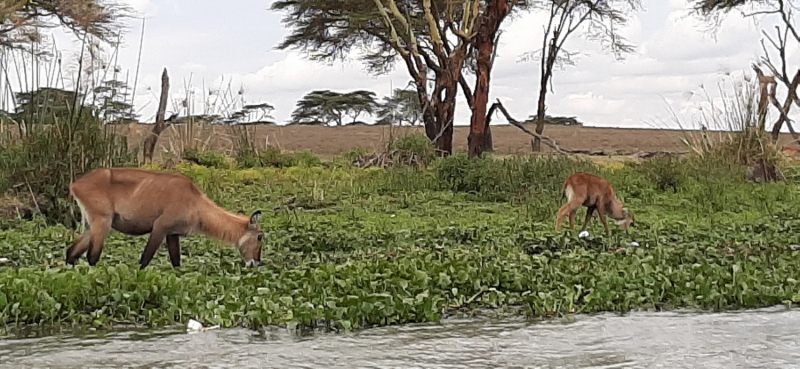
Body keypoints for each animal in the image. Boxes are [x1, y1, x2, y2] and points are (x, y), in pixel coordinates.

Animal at [66, 167, 266, 268]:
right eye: (260, 237)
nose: (256, 262)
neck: (196, 202)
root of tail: (76, 184)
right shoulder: (160, 228)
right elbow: (144, 260)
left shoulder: (172, 234)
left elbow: (176, 263)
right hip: (102, 222)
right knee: (92, 257)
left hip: (90, 226)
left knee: (71, 253)